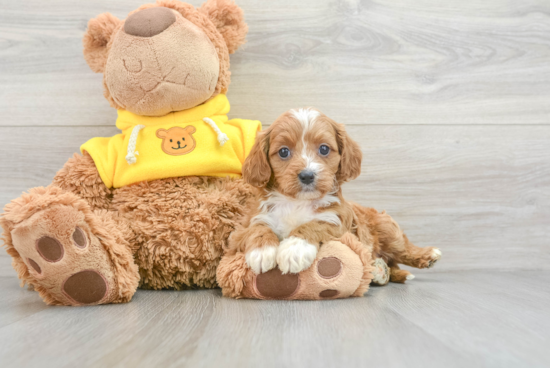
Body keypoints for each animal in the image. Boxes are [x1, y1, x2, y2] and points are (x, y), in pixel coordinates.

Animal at [230, 107, 444, 282]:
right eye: (283, 152)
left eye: (324, 148)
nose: (307, 175)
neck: (297, 202)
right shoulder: (244, 226)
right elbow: (257, 228)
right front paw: (262, 251)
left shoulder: (339, 220)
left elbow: (315, 224)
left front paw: (295, 248)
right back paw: (379, 271)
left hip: (387, 229)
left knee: (403, 248)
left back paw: (427, 255)